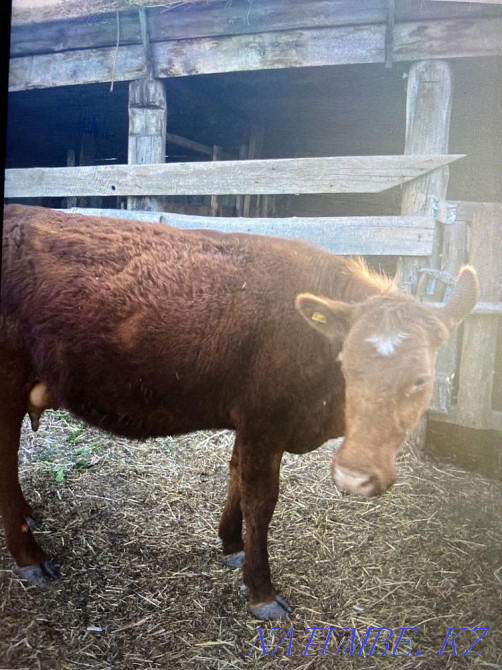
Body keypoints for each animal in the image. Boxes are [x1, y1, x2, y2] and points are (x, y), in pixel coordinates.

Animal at [0, 204, 478, 620]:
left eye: (421, 379)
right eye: (347, 365)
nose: (354, 476)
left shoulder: (249, 419)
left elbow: (235, 476)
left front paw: (231, 544)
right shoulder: (266, 419)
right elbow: (260, 499)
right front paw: (261, 589)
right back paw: (31, 557)